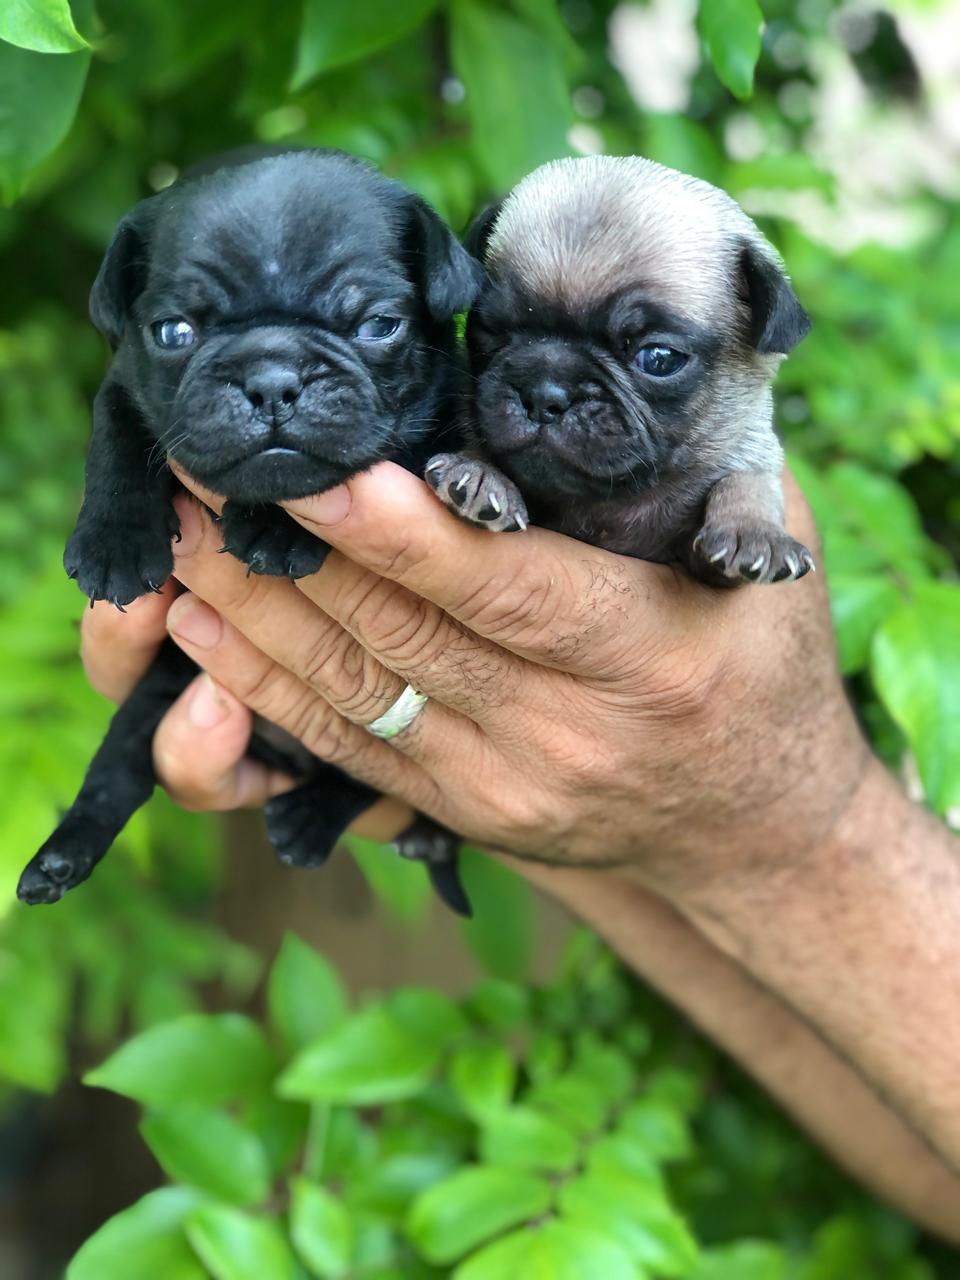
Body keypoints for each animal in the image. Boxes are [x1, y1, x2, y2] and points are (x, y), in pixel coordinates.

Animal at [21, 147, 483, 911]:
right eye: (174, 332)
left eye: (378, 325)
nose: (271, 378)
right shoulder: (126, 383)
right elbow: (116, 435)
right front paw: (116, 542)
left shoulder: (441, 423)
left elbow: (373, 460)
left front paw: (280, 531)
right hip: (162, 689)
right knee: (117, 770)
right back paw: (61, 856)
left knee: (372, 775)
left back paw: (311, 815)